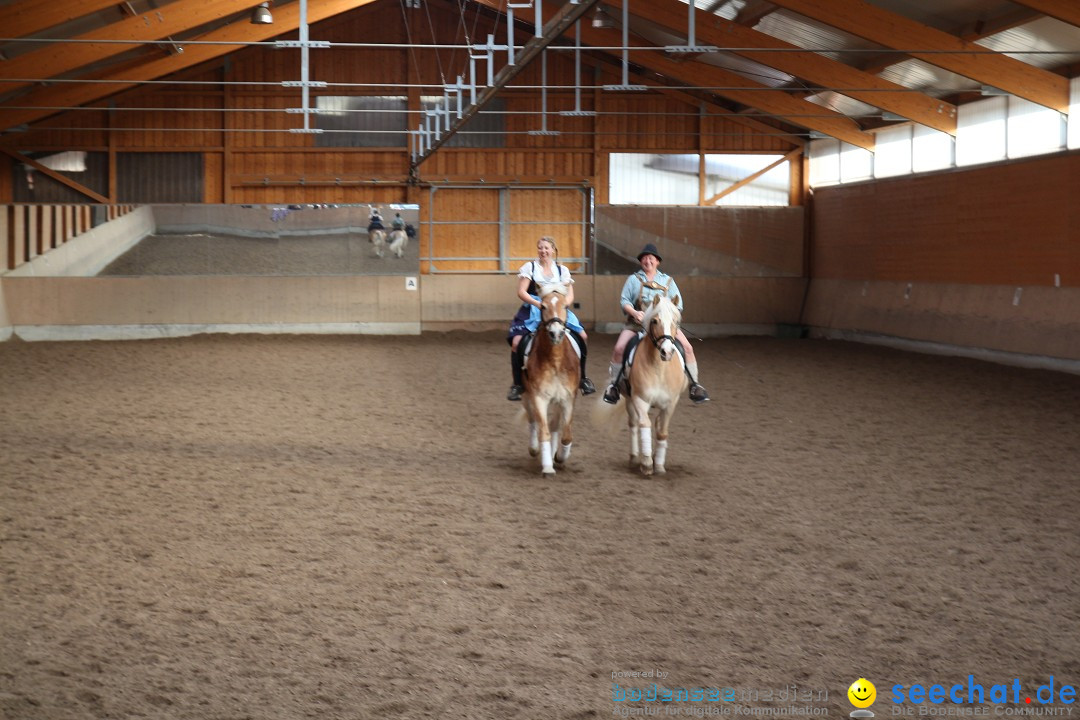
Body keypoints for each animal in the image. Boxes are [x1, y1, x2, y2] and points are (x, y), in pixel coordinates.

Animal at [522, 284, 583, 474]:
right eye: (542, 306)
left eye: (566, 306)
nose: (556, 333)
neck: (555, 361)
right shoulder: (539, 397)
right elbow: (544, 431)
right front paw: (547, 466)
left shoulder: (568, 398)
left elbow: (566, 435)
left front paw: (559, 457)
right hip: (526, 395)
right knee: (533, 420)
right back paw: (535, 449)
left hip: (557, 400)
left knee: (555, 426)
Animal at [622, 295, 686, 474]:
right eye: (655, 321)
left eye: (675, 321)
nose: (667, 352)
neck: (659, 369)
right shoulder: (640, 399)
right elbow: (644, 425)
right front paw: (646, 463)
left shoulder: (670, 404)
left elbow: (662, 433)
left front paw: (658, 465)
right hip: (628, 400)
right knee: (633, 424)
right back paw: (634, 457)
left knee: (656, 424)